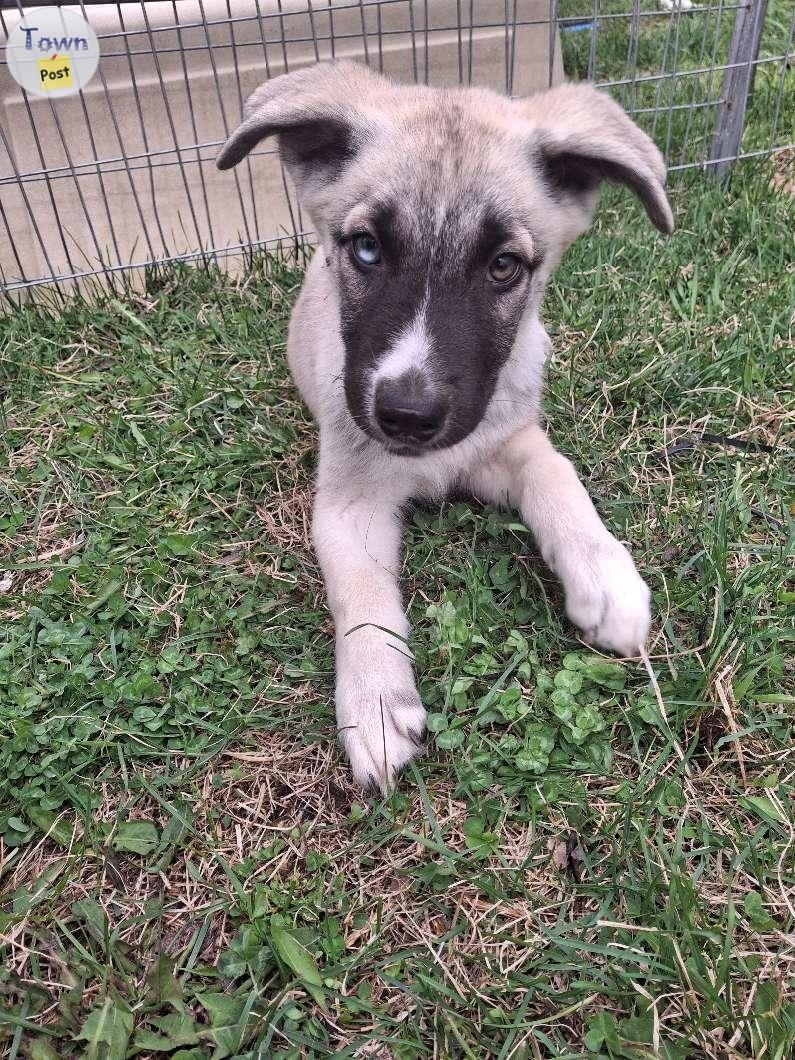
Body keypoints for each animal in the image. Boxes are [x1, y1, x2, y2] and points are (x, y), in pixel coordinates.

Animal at [218, 58, 674, 788]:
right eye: (366, 250)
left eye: (503, 266)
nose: (407, 415)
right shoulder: (348, 501)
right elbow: (362, 595)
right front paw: (376, 701)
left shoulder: (503, 439)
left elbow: (557, 474)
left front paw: (603, 576)